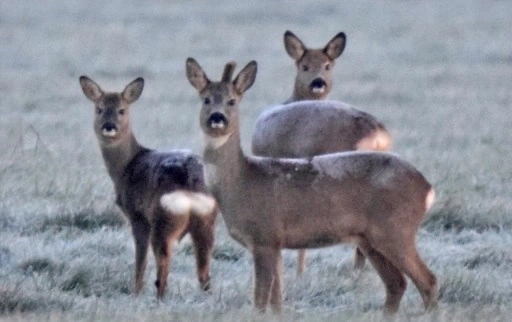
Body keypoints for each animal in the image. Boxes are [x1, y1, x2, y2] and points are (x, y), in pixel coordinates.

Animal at [79, 75, 217, 300]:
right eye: (99, 109)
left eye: (122, 110)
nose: (109, 126)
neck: (126, 165)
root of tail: (190, 180)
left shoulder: (137, 215)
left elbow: (140, 259)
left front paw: (135, 292)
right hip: (207, 220)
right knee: (204, 271)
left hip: (164, 218)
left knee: (164, 268)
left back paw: (159, 298)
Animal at [184, 58, 436, 314]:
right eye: (206, 99)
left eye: (232, 101)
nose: (217, 118)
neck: (241, 182)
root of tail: (427, 189)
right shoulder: (275, 243)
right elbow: (276, 299)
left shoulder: (265, 235)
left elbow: (260, 299)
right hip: (370, 238)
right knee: (396, 283)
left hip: (396, 229)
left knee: (427, 280)